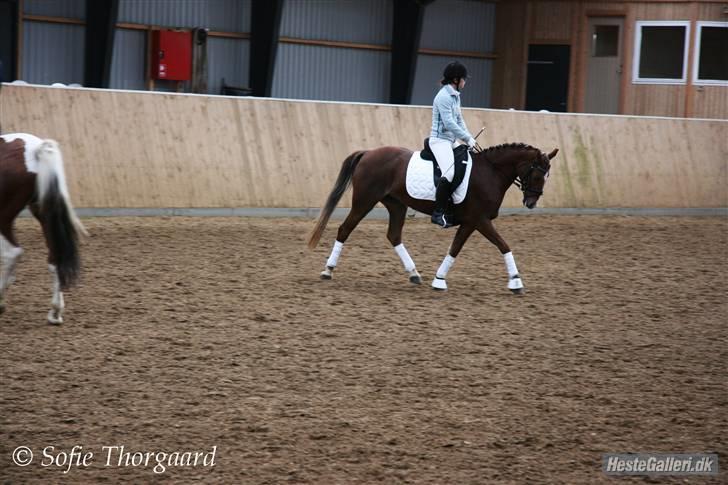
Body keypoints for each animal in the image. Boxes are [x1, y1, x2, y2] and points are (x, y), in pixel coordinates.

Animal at [308, 140, 556, 292]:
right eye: (537, 175)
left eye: (547, 177)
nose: (531, 203)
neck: (490, 172)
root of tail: (368, 152)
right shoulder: (480, 220)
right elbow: (503, 245)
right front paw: (516, 282)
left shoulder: (470, 222)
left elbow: (454, 249)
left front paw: (439, 280)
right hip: (364, 201)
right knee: (345, 229)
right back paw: (328, 270)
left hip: (396, 205)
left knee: (394, 236)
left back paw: (414, 274)